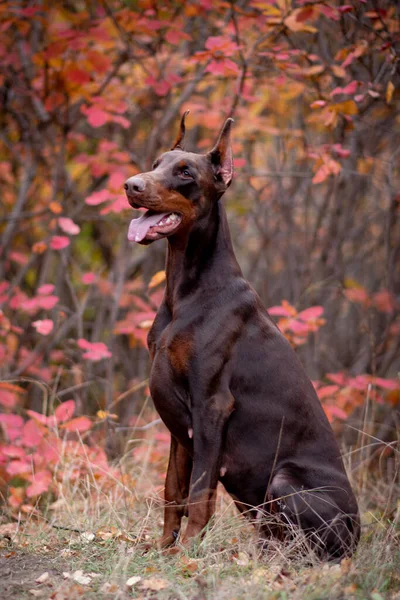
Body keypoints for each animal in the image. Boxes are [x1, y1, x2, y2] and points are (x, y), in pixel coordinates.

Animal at [124, 115, 360, 560]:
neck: (187, 291)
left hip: (286, 483)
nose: (131, 185)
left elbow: (199, 495)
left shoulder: (211, 405)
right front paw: (164, 549)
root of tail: (359, 534)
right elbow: (173, 491)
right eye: (156, 163)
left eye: (186, 172)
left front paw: (187, 555)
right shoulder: (181, 426)